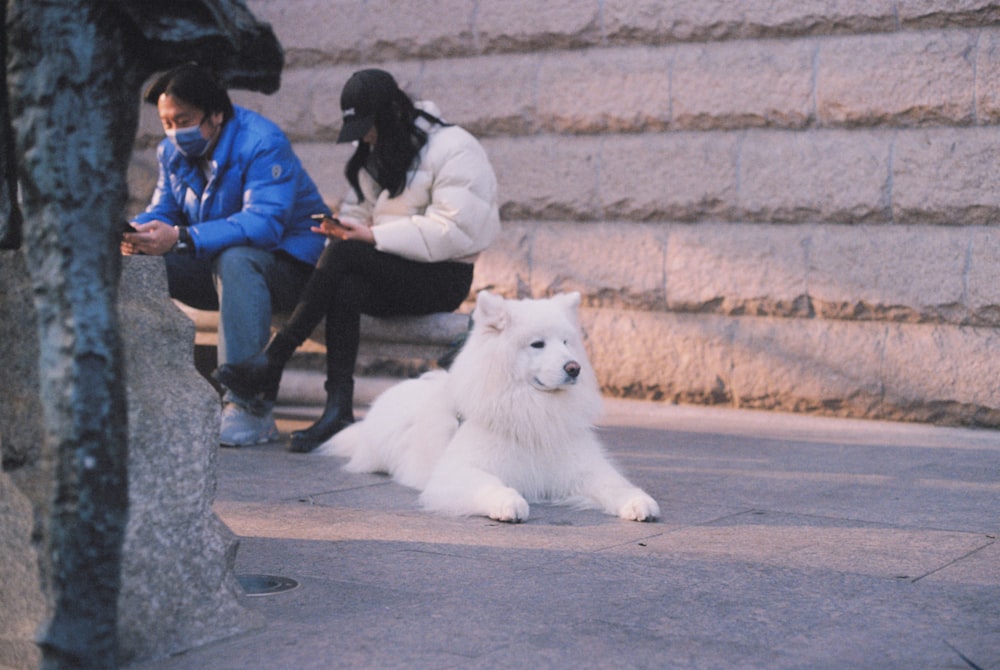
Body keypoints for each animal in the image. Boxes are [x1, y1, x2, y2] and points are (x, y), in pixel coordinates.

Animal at [320, 290, 660, 524]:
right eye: (538, 344)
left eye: (566, 342)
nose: (574, 367)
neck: (534, 410)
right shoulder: (458, 471)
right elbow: (489, 483)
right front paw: (509, 502)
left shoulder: (580, 468)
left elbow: (616, 485)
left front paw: (639, 502)